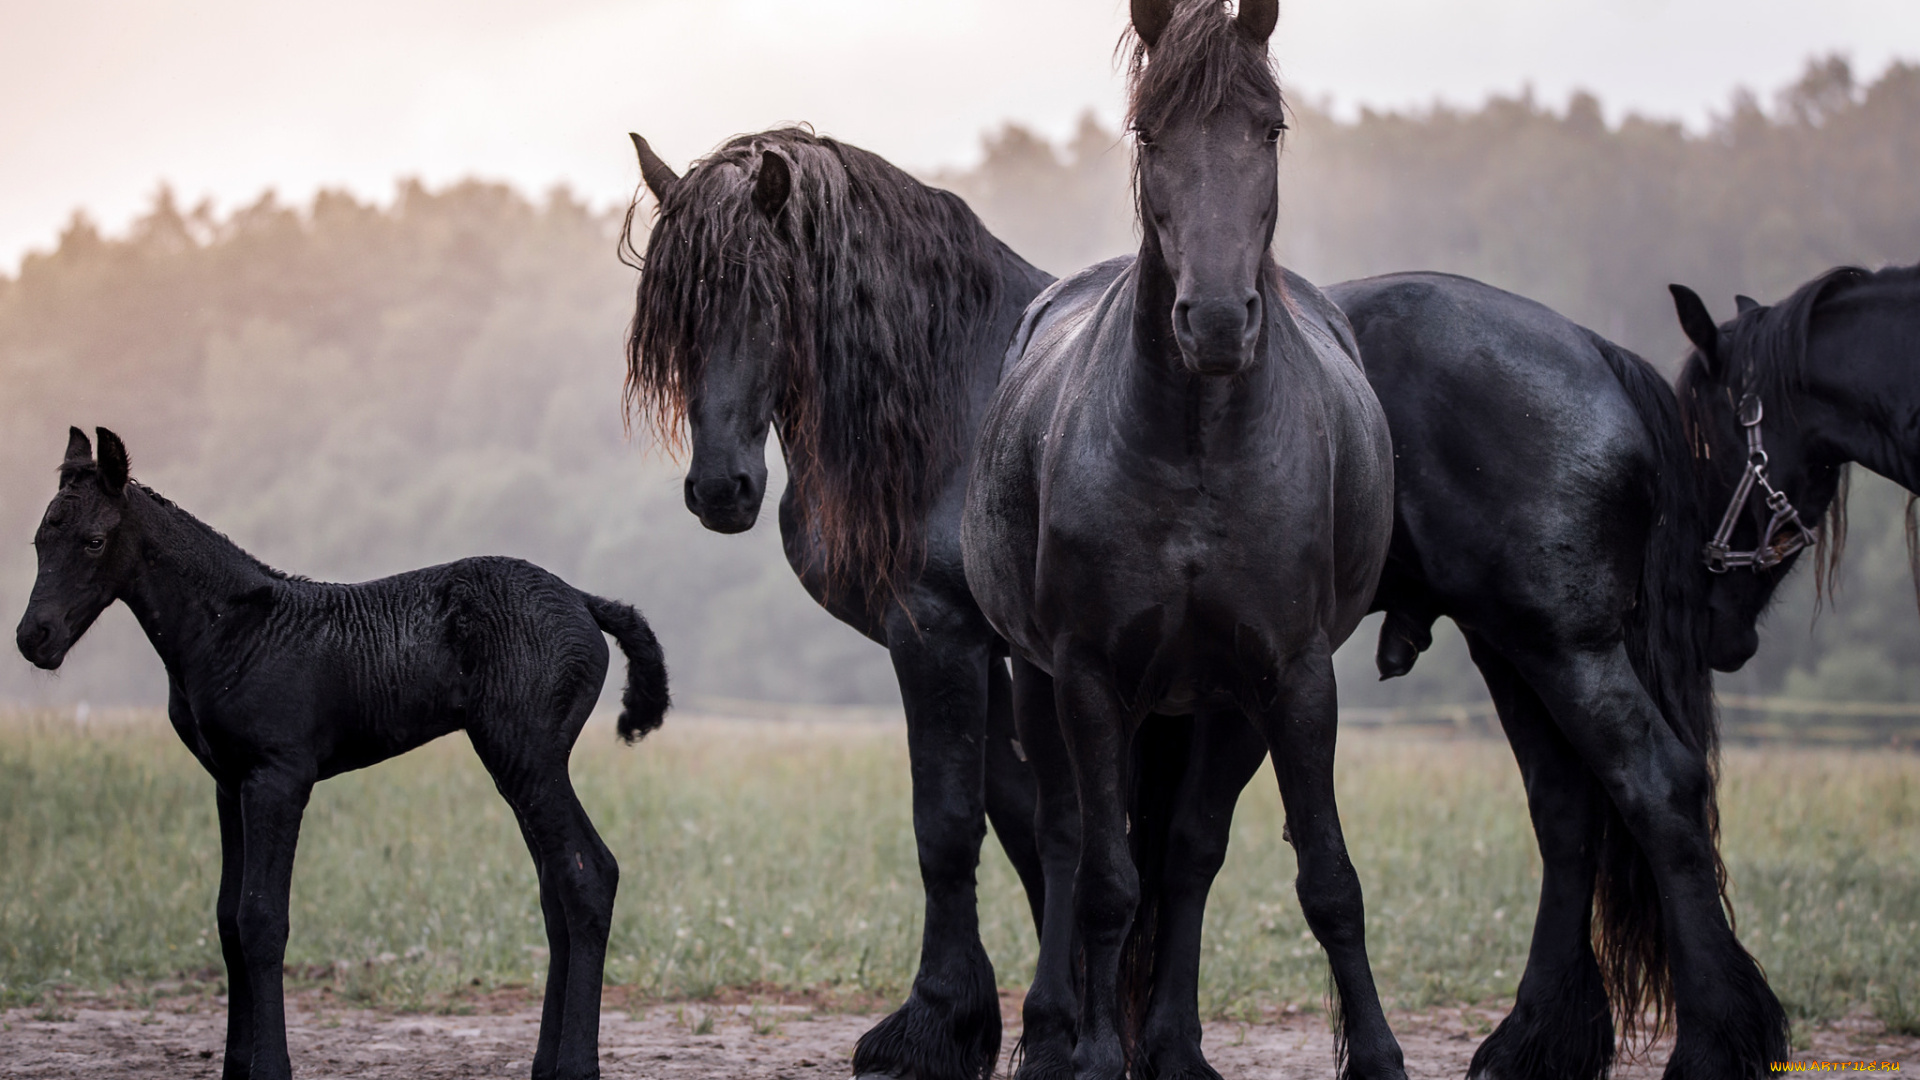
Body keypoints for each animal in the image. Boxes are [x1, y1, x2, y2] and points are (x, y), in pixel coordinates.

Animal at [15, 428, 668, 1076]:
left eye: (94, 540)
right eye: (40, 539)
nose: (32, 638)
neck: (232, 630)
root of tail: (583, 600)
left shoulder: (277, 777)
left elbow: (261, 919)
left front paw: (271, 1067)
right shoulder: (229, 782)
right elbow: (227, 920)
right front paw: (236, 1065)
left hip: (526, 757)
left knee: (589, 875)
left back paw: (577, 1065)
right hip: (525, 766)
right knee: (557, 890)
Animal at [625, 127, 1059, 1076]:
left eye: (768, 298)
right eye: (677, 317)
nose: (721, 489)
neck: (964, 394)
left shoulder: (937, 636)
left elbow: (949, 824)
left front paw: (935, 1022)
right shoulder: (990, 650)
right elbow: (1026, 817)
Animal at [967, 2, 1405, 1076]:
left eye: (1270, 130)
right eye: (1148, 134)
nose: (1213, 321)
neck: (1200, 447)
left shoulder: (1290, 678)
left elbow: (1321, 878)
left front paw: (1378, 1053)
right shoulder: (1087, 675)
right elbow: (1106, 881)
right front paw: (1089, 1054)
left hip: (1218, 704)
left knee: (1189, 852)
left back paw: (1171, 1046)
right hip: (1046, 683)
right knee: (1072, 840)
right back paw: (1058, 1031)